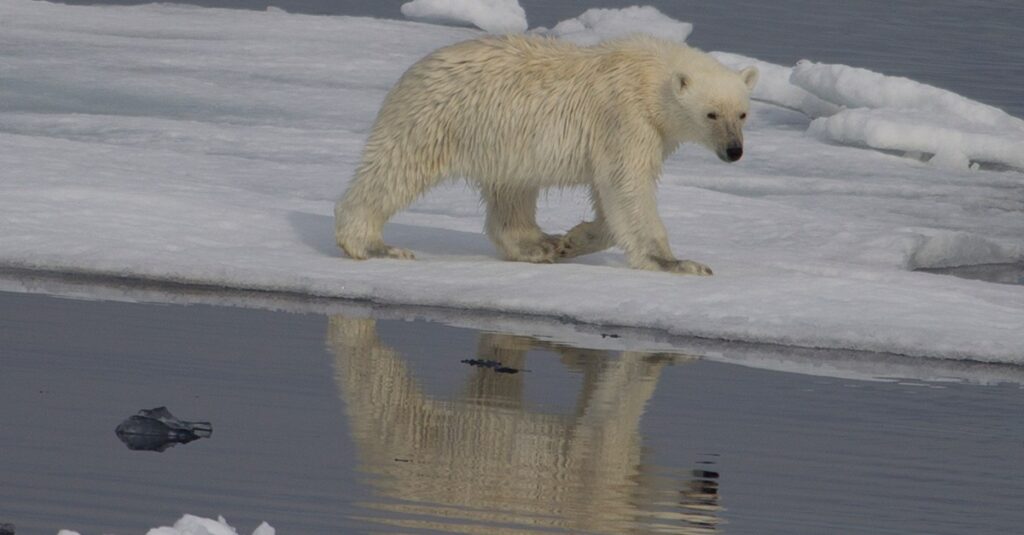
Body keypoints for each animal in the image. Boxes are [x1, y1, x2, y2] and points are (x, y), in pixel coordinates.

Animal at [335, 34, 758, 275]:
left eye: (742, 113)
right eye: (711, 113)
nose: (734, 151)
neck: (650, 78)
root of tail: (414, 70)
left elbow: (611, 194)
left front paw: (572, 240)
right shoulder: (625, 117)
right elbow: (628, 185)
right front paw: (678, 263)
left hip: (502, 141)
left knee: (512, 192)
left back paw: (538, 245)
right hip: (437, 118)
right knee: (396, 169)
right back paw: (373, 245)